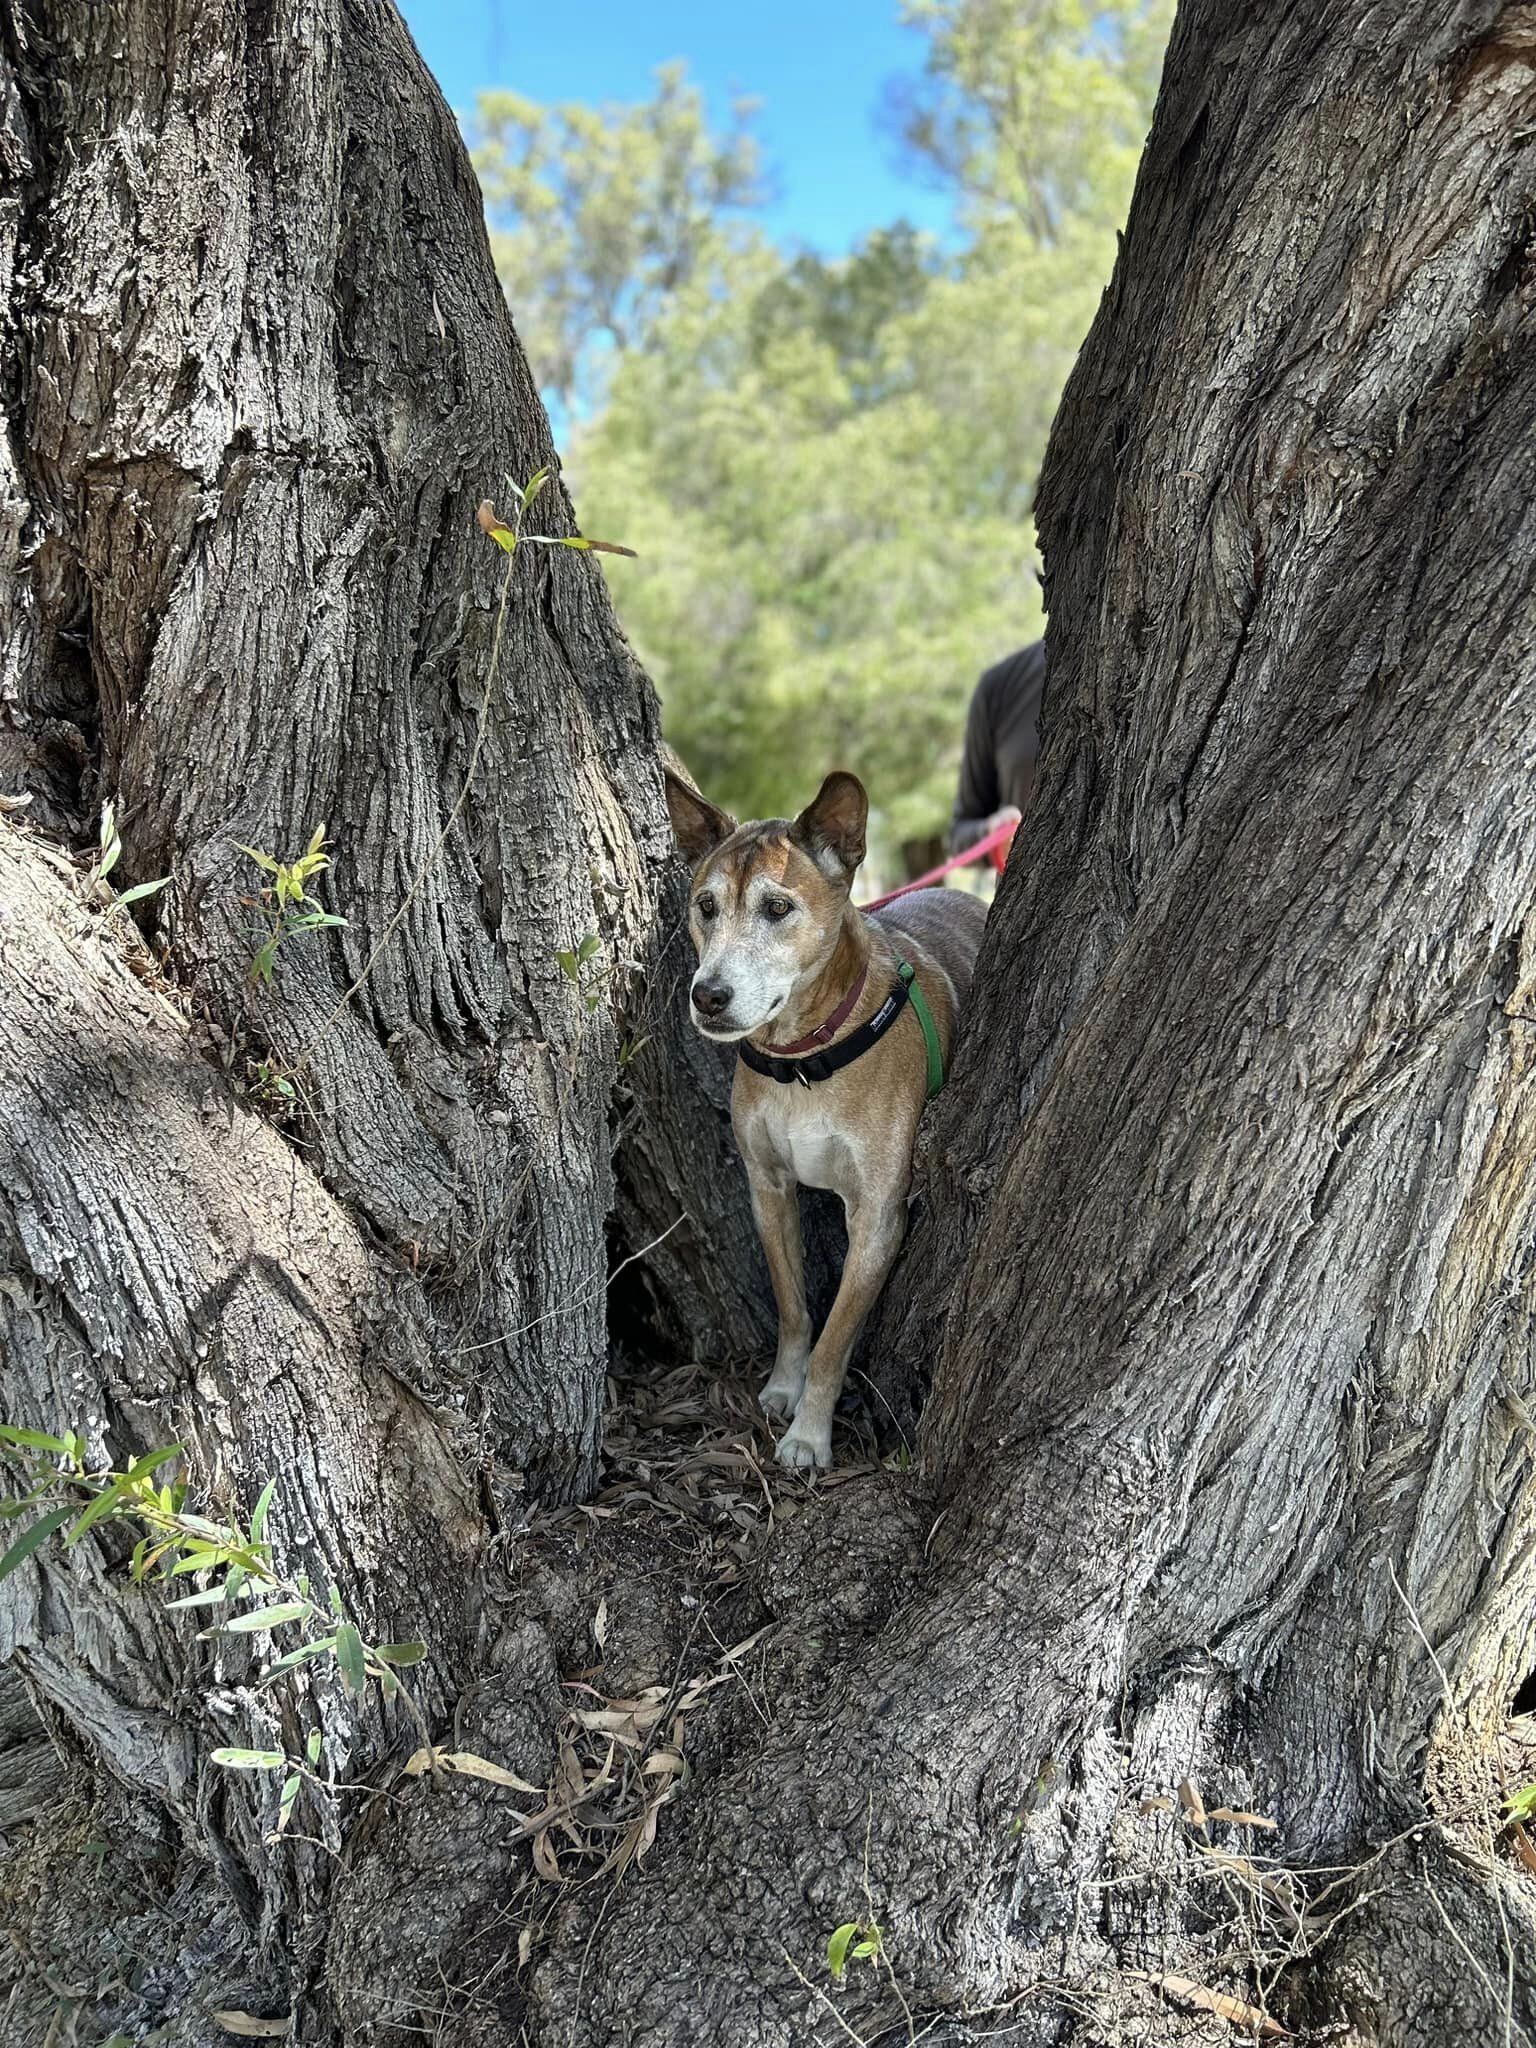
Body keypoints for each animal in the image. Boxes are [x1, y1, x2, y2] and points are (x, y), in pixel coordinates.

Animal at [671, 770, 987, 1474]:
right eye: (705, 906)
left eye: (777, 909)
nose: (707, 995)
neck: (805, 1059)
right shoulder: (768, 1189)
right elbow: (794, 1311)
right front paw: (782, 1388)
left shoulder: (877, 1218)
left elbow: (835, 1341)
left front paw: (809, 1435)